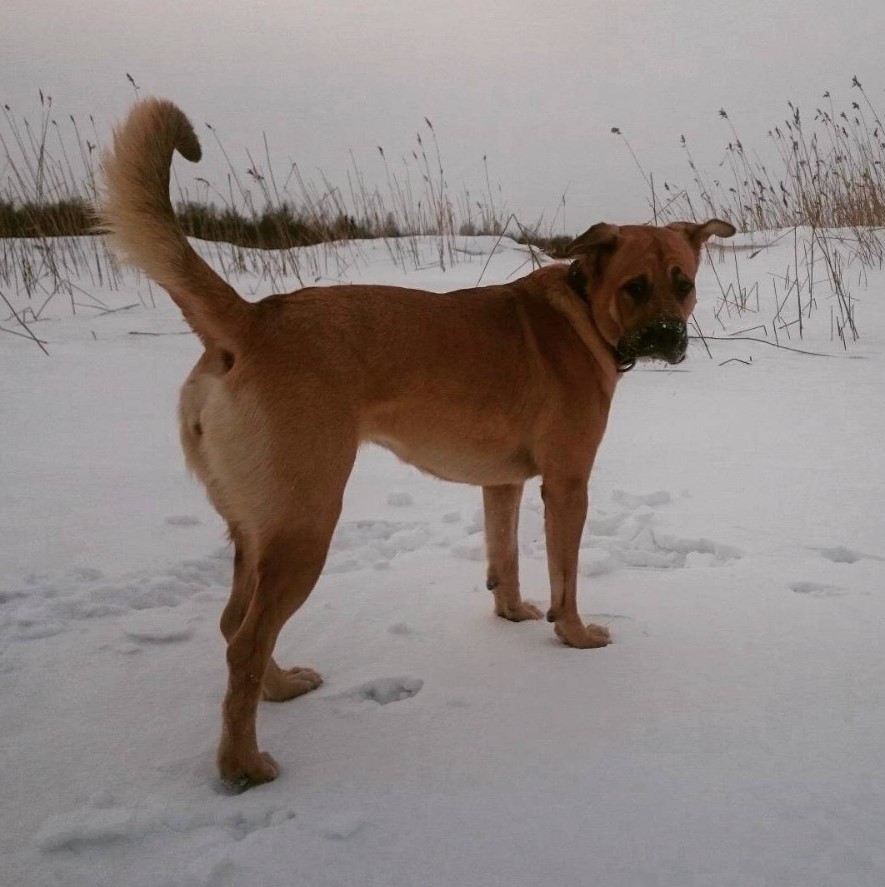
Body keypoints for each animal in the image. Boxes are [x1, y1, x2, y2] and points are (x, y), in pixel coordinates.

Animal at [96, 99, 736, 792]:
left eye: (683, 282)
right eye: (635, 287)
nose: (670, 337)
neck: (584, 311)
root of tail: (252, 319)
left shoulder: (503, 483)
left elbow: (504, 560)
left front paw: (513, 614)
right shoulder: (567, 485)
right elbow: (563, 578)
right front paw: (573, 635)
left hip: (256, 527)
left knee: (233, 627)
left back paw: (281, 687)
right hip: (305, 524)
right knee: (244, 642)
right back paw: (244, 763)